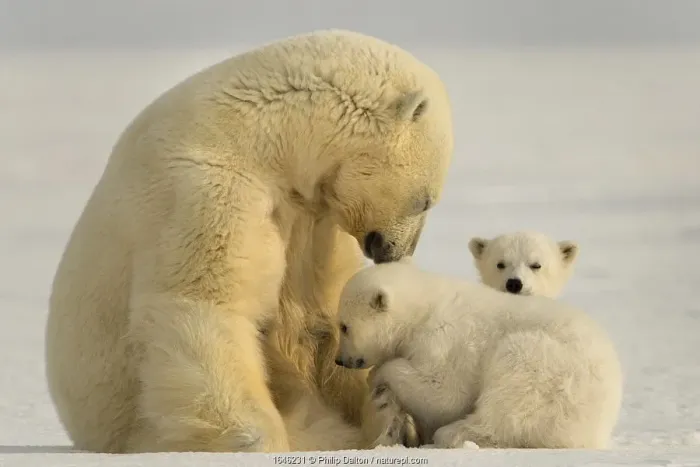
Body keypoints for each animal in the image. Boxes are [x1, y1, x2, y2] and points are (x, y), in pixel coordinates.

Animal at [44, 29, 454, 453]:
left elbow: (326, 315)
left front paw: (395, 413)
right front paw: (256, 439)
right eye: (425, 200)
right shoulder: (211, 186)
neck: (265, 139)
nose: (397, 251)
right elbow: (206, 303)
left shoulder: (313, 223)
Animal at [334, 258, 623, 449]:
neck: (422, 310)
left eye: (344, 326)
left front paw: (378, 377)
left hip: (550, 371)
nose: (340, 360)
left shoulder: (446, 338)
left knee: (509, 399)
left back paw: (453, 434)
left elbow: (444, 392)